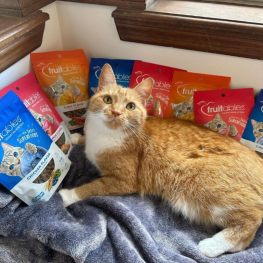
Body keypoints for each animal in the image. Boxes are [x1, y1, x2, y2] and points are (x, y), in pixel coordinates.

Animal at [59, 63, 263, 258]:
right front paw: (76, 137)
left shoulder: (124, 180)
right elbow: (84, 140)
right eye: (107, 99)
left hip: (204, 185)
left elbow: (92, 187)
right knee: (246, 239)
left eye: (130, 106)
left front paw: (67, 196)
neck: (105, 135)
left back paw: (211, 246)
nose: (116, 112)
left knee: (252, 218)